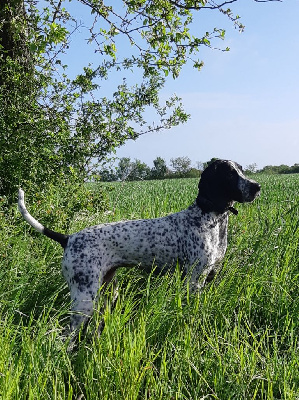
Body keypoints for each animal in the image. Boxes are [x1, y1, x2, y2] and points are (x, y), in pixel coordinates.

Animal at [18, 159, 262, 332]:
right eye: (229, 173)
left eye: (241, 169)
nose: (256, 186)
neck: (209, 217)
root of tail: (69, 238)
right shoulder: (194, 280)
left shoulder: (210, 275)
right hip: (84, 299)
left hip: (107, 290)